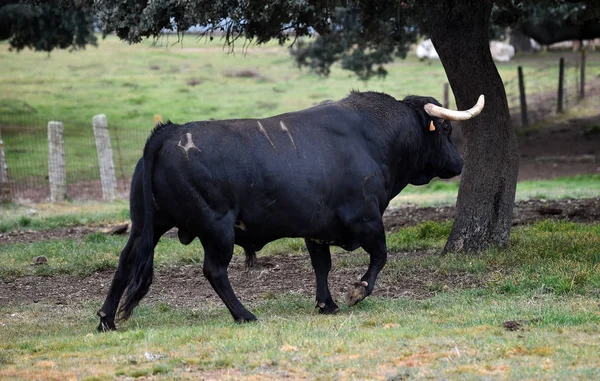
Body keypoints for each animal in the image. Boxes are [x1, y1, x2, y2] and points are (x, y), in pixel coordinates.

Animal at [98, 91, 472, 330]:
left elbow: (322, 266)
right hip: (216, 227)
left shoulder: (316, 229)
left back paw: (106, 319)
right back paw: (245, 315)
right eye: (447, 129)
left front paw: (326, 304)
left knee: (126, 261)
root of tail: (170, 131)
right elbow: (380, 256)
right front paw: (357, 292)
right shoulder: (366, 218)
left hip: (146, 223)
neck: (372, 137)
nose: (460, 162)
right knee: (214, 271)